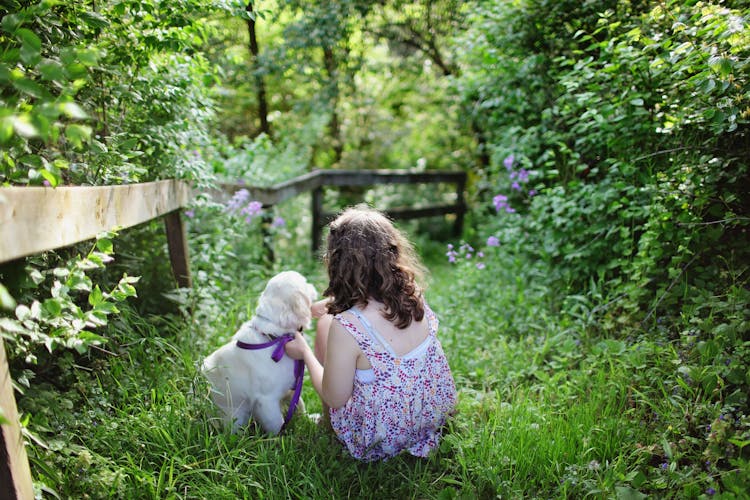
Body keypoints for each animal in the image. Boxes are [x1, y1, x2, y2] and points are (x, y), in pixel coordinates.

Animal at [203, 272, 318, 432]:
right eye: (305, 283)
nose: (313, 285)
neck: (275, 338)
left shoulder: (291, 387)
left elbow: (299, 404)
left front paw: (309, 419)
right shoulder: (267, 400)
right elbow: (277, 423)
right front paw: (281, 437)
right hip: (236, 416)